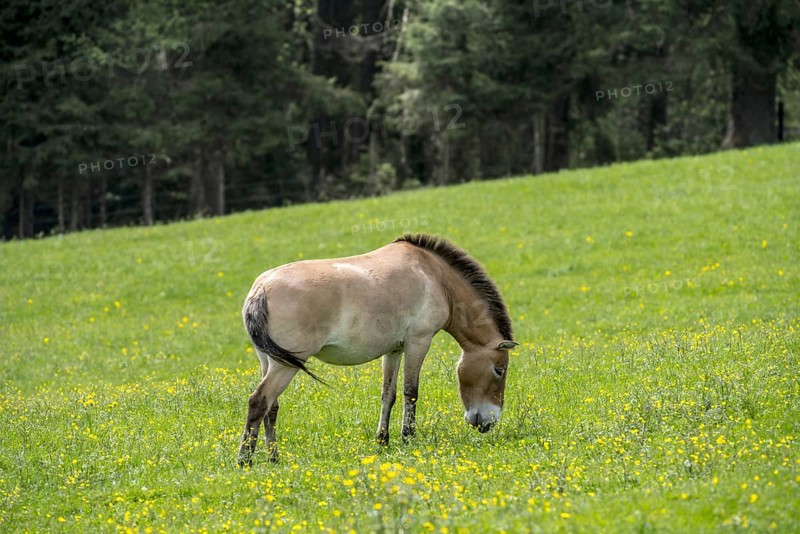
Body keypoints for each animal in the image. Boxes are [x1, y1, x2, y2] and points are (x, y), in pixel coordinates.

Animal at [237, 233, 518, 466]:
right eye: (499, 370)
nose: (489, 422)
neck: (435, 276)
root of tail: (261, 289)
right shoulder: (418, 342)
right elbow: (410, 392)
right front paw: (408, 437)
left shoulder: (394, 350)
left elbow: (388, 395)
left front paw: (383, 440)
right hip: (284, 366)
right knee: (258, 401)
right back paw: (245, 460)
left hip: (269, 361)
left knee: (272, 407)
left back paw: (273, 458)